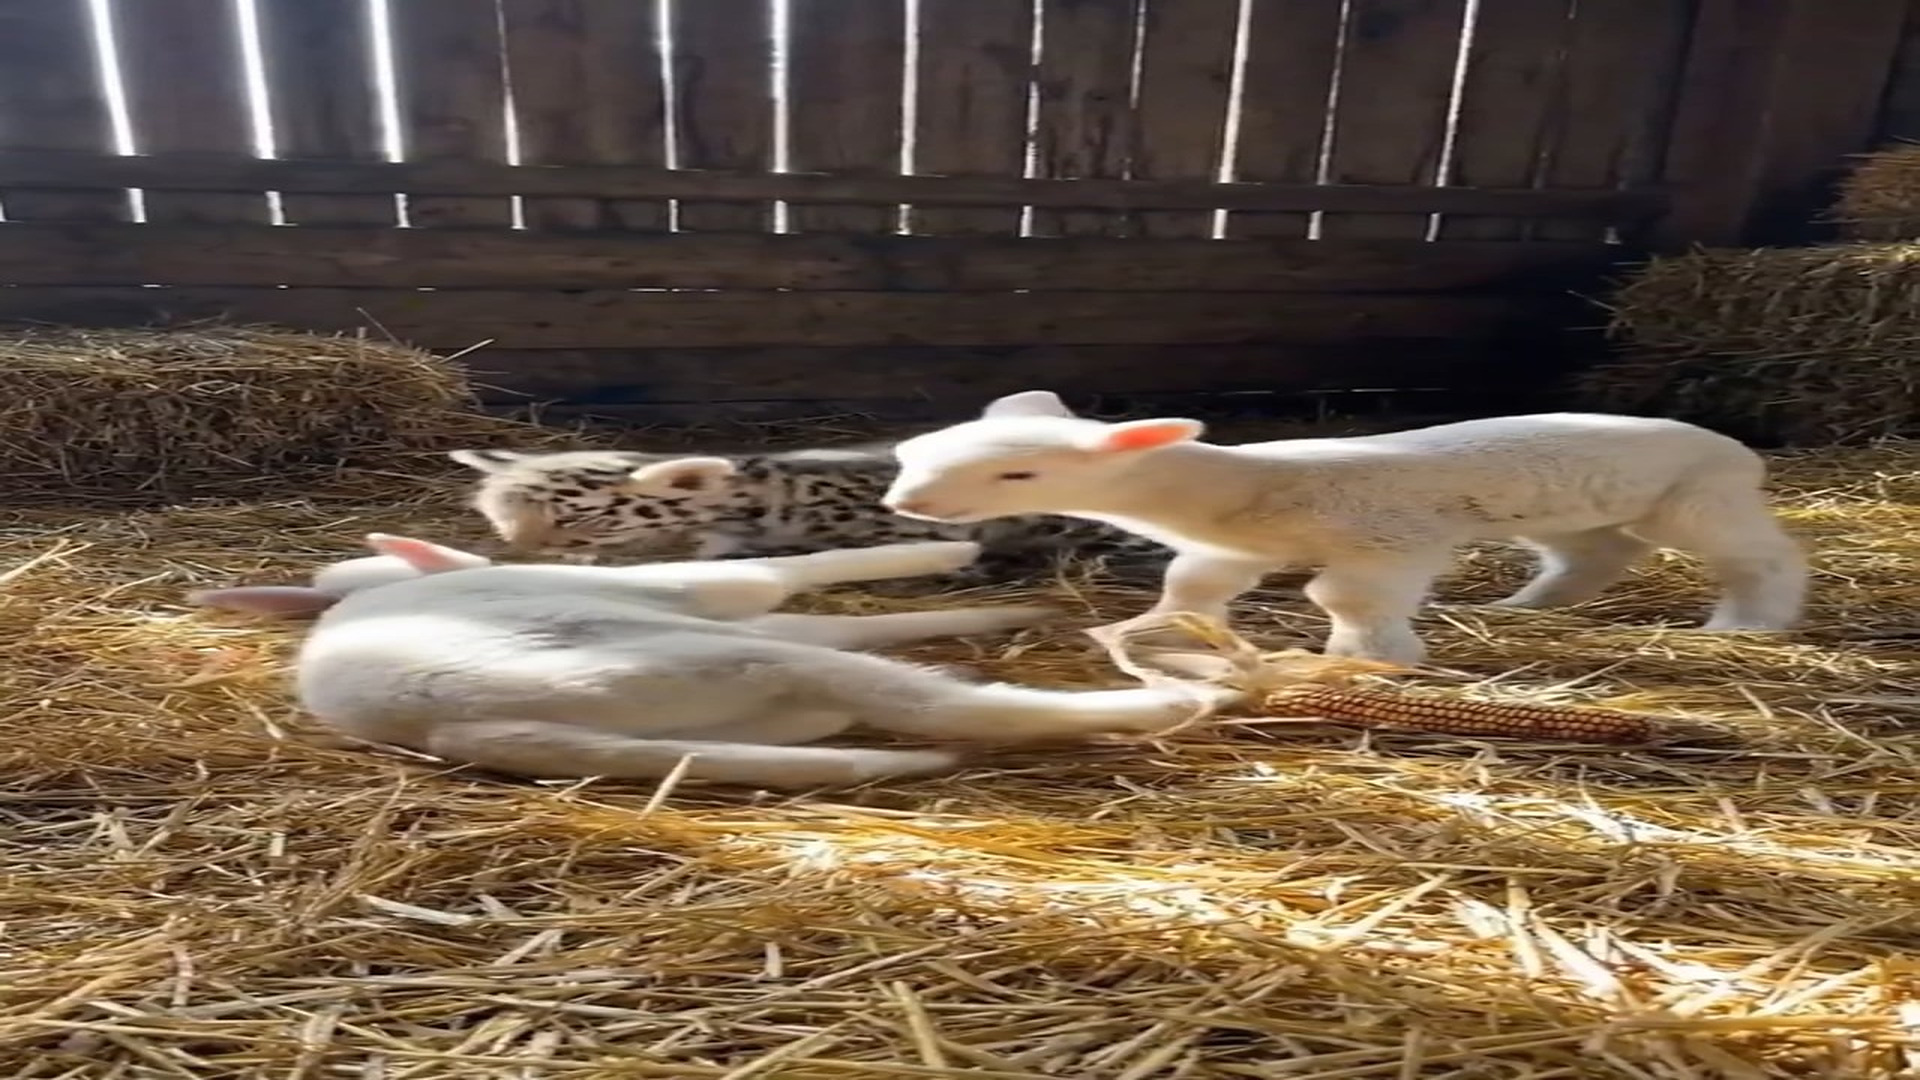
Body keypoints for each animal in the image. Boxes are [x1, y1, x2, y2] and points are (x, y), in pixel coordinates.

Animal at [879, 390, 1808, 665]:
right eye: (911, 452)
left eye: (1018, 476)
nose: (908, 507)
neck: (1251, 484)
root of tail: (1734, 446)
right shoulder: (1228, 547)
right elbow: (1193, 587)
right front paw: (1148, 627)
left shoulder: (1388, 539)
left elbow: (1350, 597)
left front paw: (1371, 658)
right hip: (1579, 513)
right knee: (1598, 552)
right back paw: (1523, 610)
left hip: (1701, 496)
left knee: (1764, 555)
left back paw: (1750, 623)